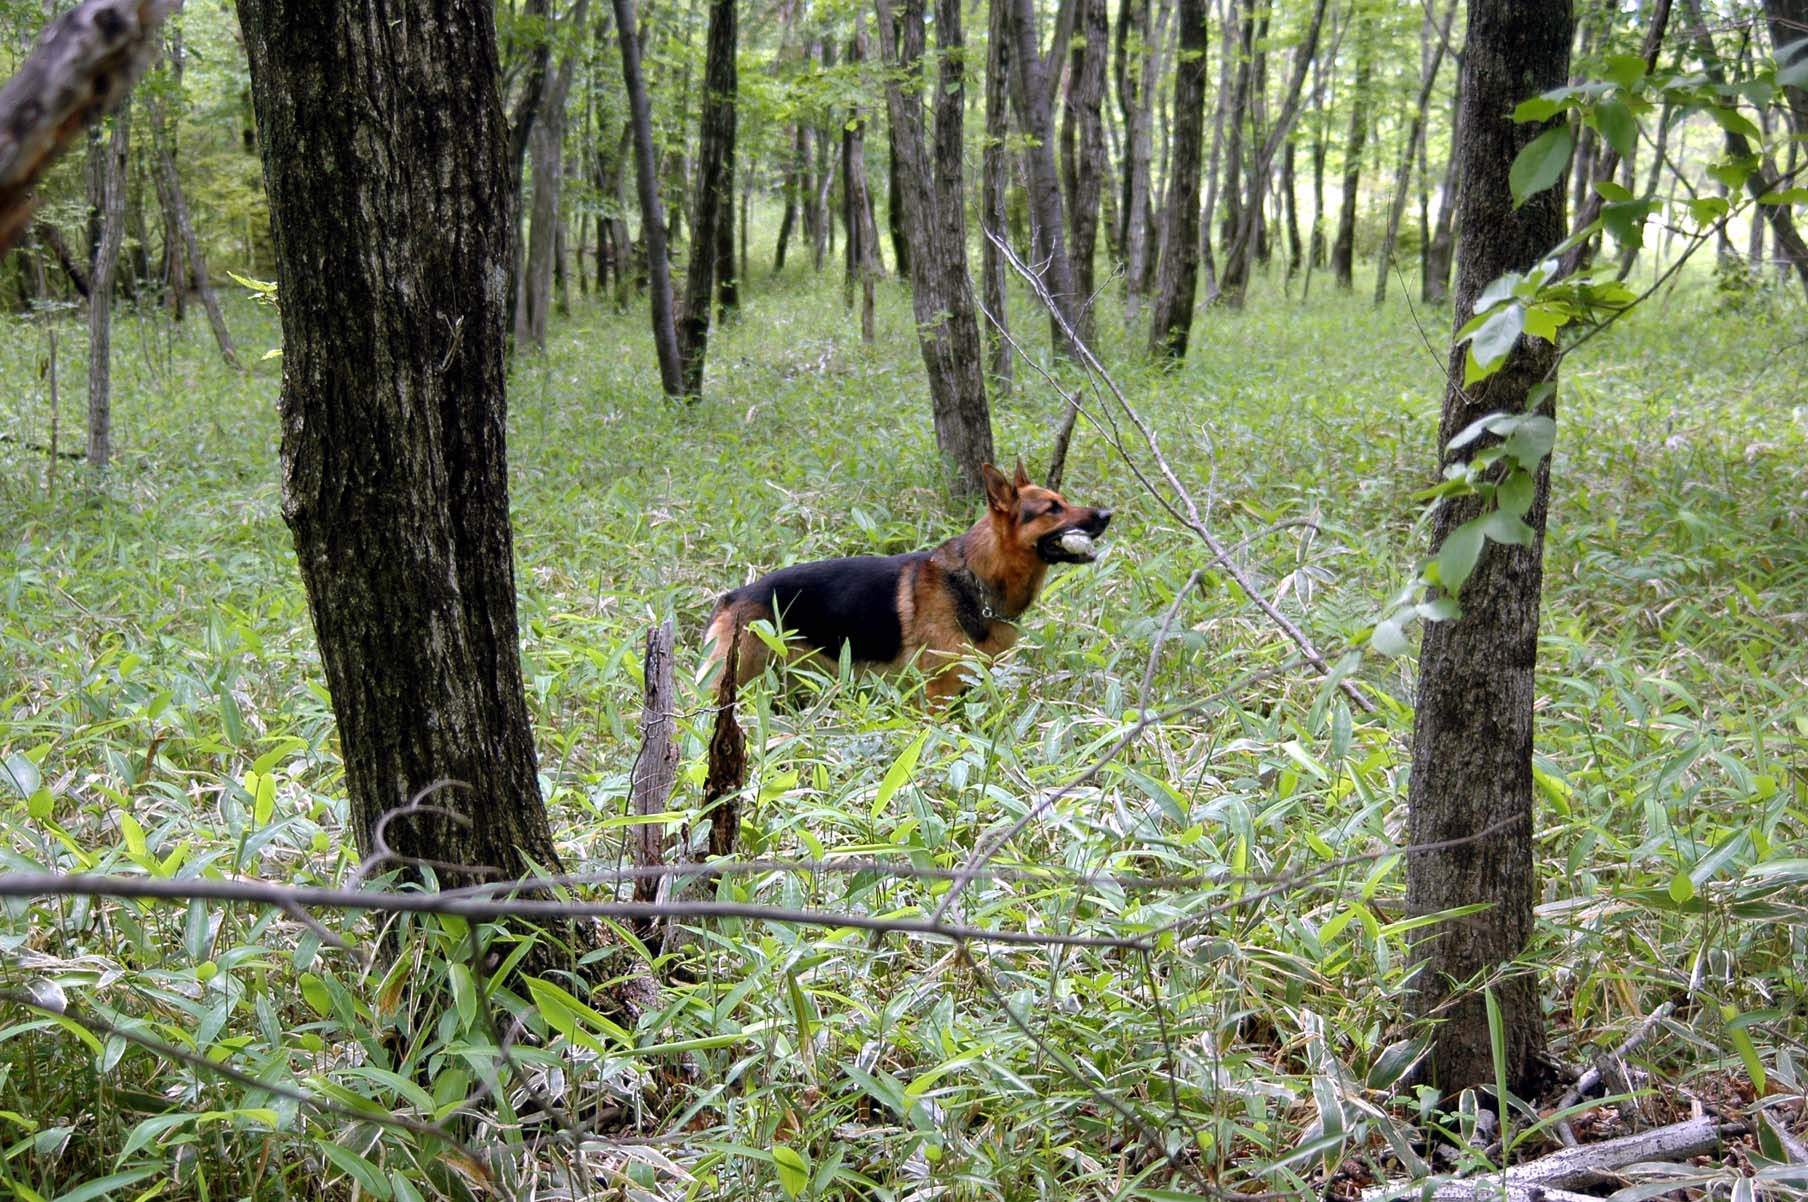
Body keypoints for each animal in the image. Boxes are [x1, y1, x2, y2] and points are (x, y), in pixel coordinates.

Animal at [701, 460, 1099, 704]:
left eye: (1063, 501)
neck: (978, 577)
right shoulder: (938, 694)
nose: (1106, 514)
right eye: (1053, 509)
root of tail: (732, 596)